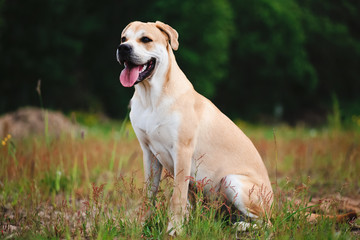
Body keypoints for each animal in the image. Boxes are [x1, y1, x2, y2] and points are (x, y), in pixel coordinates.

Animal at [116, 20, 272, 234]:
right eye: (124, 38)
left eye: (145, 39)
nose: (123, 48)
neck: (151, 98)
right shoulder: (149, 153)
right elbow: (149, 194)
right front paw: (142, 226)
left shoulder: (182, 151)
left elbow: (177, 197)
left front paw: (174, 230)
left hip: (232, 180)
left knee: (267, 224)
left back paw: (240, 226)